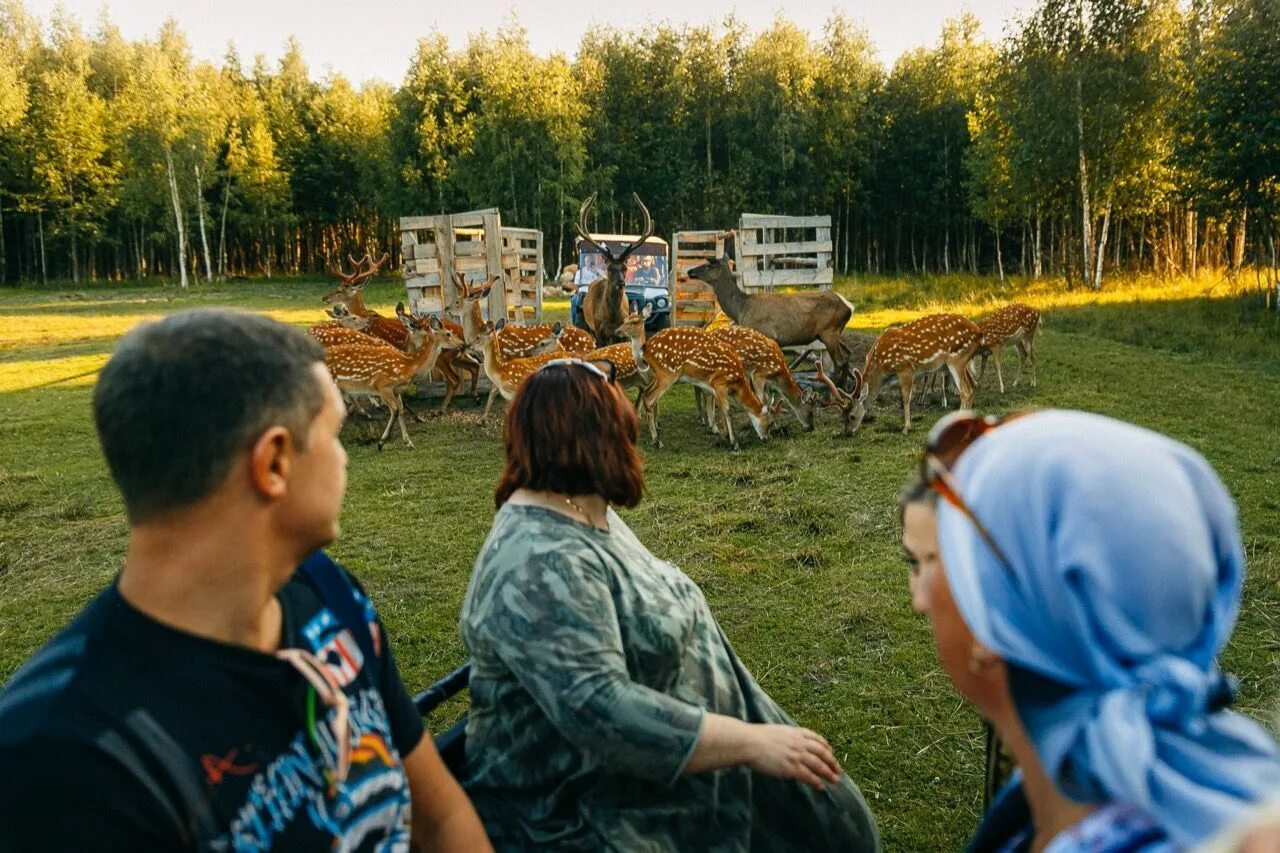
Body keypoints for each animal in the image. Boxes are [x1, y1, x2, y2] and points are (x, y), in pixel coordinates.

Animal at [325, 308, 465, 448]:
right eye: (448, 333)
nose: (463, 344)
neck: (408, 365)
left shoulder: (396, 390)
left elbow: (401, 410)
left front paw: (408, 442)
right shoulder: (382, 386)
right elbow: (395, 410)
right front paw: (381, 442)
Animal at [634, 324, 762, 448]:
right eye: (767, 420)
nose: (765, 437)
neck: (736, 379)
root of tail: (645, 348)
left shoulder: (708, 384)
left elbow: (714, 402)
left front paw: (719, 431)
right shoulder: (719, 382)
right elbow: (726, 409)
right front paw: (734, 442)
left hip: (655, 375)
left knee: (646, 392)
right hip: (667, 373)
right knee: (649, 398)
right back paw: (657, 440)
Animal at [686, 256, 855, 381]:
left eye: (709, 264)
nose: (690, 271)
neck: (740, 310)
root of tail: (849, 307)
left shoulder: (765, 334)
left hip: (829, 331)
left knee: (840, 360)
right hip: (833, 333)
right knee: (848, 354)